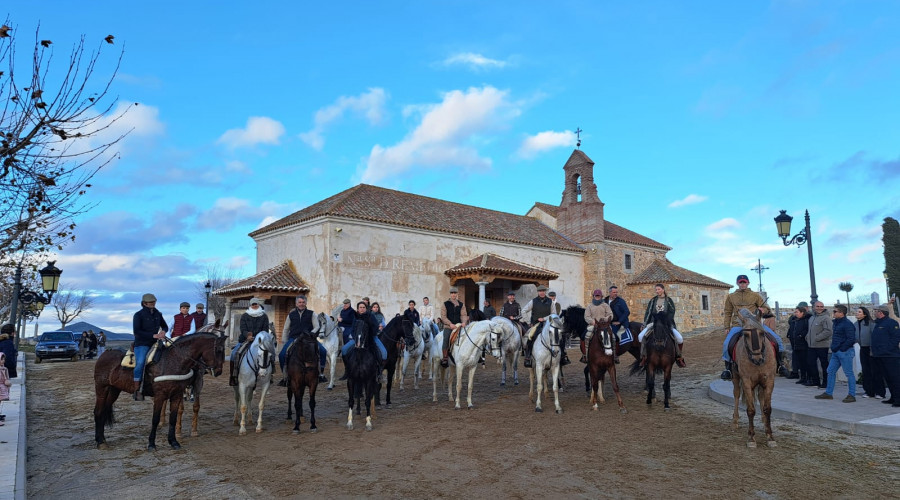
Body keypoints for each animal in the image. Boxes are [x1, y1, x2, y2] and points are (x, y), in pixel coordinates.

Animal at [93, 328, 227, 450]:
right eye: (219, 350)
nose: (218, 371)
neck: (172, 361)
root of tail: (104, 354)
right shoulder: (160, 396)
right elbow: (155, 419)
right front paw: (151, 444)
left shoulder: (177, 395)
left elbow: (173, 418)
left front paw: (173, 442)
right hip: (101, 388)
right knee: (98, 411)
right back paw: (100, 442)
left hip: (114, 390)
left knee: (104, 411)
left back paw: (102, 439)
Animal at [728, 308, 776, 450]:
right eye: (745, 335)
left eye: (762, 333)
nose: (758, 359)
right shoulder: (747, 383)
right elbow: (750, 410)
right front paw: (751, 438)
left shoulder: (769, 381)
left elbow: (767, 409)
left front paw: (770, 436)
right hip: (736, 377)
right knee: (736, 394)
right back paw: (735, 421)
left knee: (760, 397)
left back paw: (764, 421)